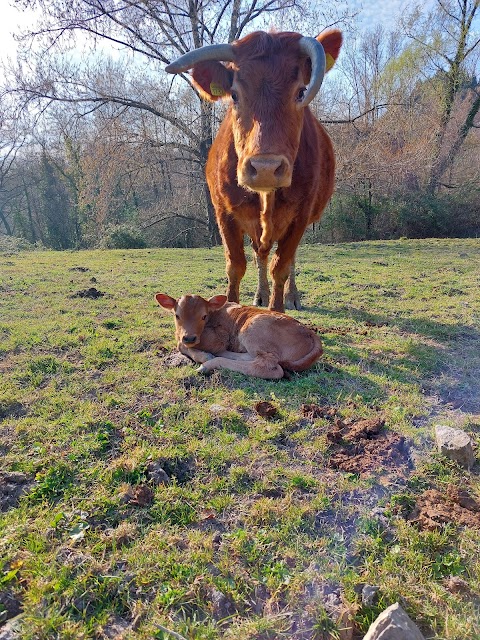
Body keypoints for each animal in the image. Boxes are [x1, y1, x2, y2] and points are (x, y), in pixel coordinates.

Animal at [158, 294, 322, 380]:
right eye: (177, 315)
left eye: (203, 316)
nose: (189, 338)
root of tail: (310, 332)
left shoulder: (219, 337)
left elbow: (180, 344)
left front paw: (205, 356)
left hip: (253, 328)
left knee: (271, 368)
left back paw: (208, 365)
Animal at [167, 28, 344, 314]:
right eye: (234, 95)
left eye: (301, 92)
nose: (265, 168)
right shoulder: (223, 212)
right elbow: (235, 266)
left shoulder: (301, 216)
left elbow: (281, 266)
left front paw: (279, 309)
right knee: (260, 253)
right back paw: (261, 295)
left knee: (286, 259)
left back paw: (292, 296)